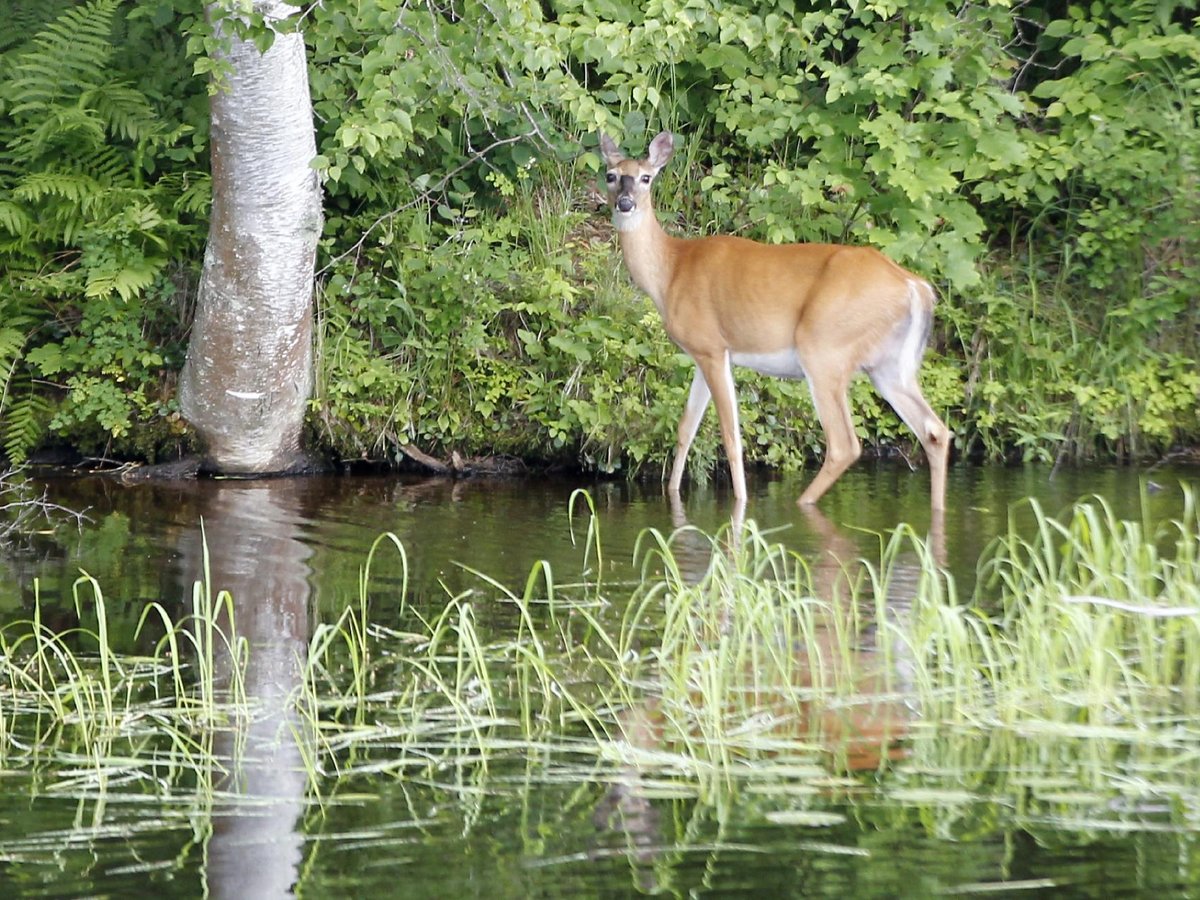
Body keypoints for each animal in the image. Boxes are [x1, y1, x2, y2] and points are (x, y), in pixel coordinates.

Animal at [597, 133, 945, 513]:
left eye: (646, 177)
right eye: (611, 175)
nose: (626, 204)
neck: (671, 271)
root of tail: (914, 286)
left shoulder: (710, 345)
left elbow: (730, 436)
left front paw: (740, 503)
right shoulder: (705, 353)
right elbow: (685, 428)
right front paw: (672, 495)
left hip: (824, 349)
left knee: (844, 444)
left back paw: (802, 503)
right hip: (890, 365)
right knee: (935, 430)